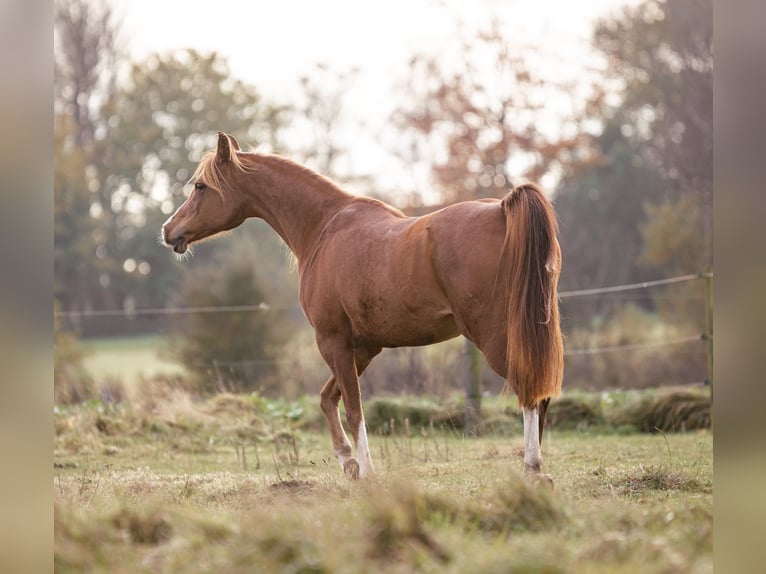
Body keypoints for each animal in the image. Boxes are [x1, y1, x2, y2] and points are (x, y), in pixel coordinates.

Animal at [162, 132, 564, 482]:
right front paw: (348, 462)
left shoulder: (333, 341)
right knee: (540, 396)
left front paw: (365, 470)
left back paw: (532, 470)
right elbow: (328, 399)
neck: (324, 226)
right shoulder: (366, 347)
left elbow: (353, 409)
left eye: (200, 186)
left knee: (529, 391)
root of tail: (502, 210)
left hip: (495, 337)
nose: (168, 230)